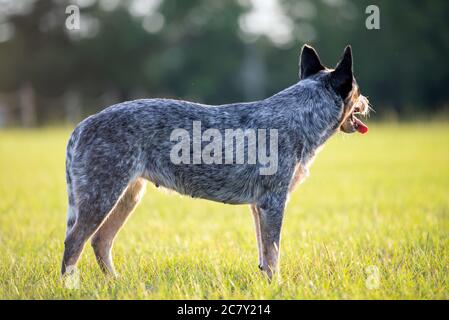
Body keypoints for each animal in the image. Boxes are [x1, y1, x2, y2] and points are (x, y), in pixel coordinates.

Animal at [60, 44, 368, 280]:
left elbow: (264, 253)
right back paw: (71, 285)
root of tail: (80, 126)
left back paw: (115, 282)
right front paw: (278, 285)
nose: (366, 100)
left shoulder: (258, 206)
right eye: (357, 89)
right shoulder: (274, 201)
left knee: (100, 241)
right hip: (102, 196)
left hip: (128, 195)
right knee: (74, 242)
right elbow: (274, 252)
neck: (301, 116)